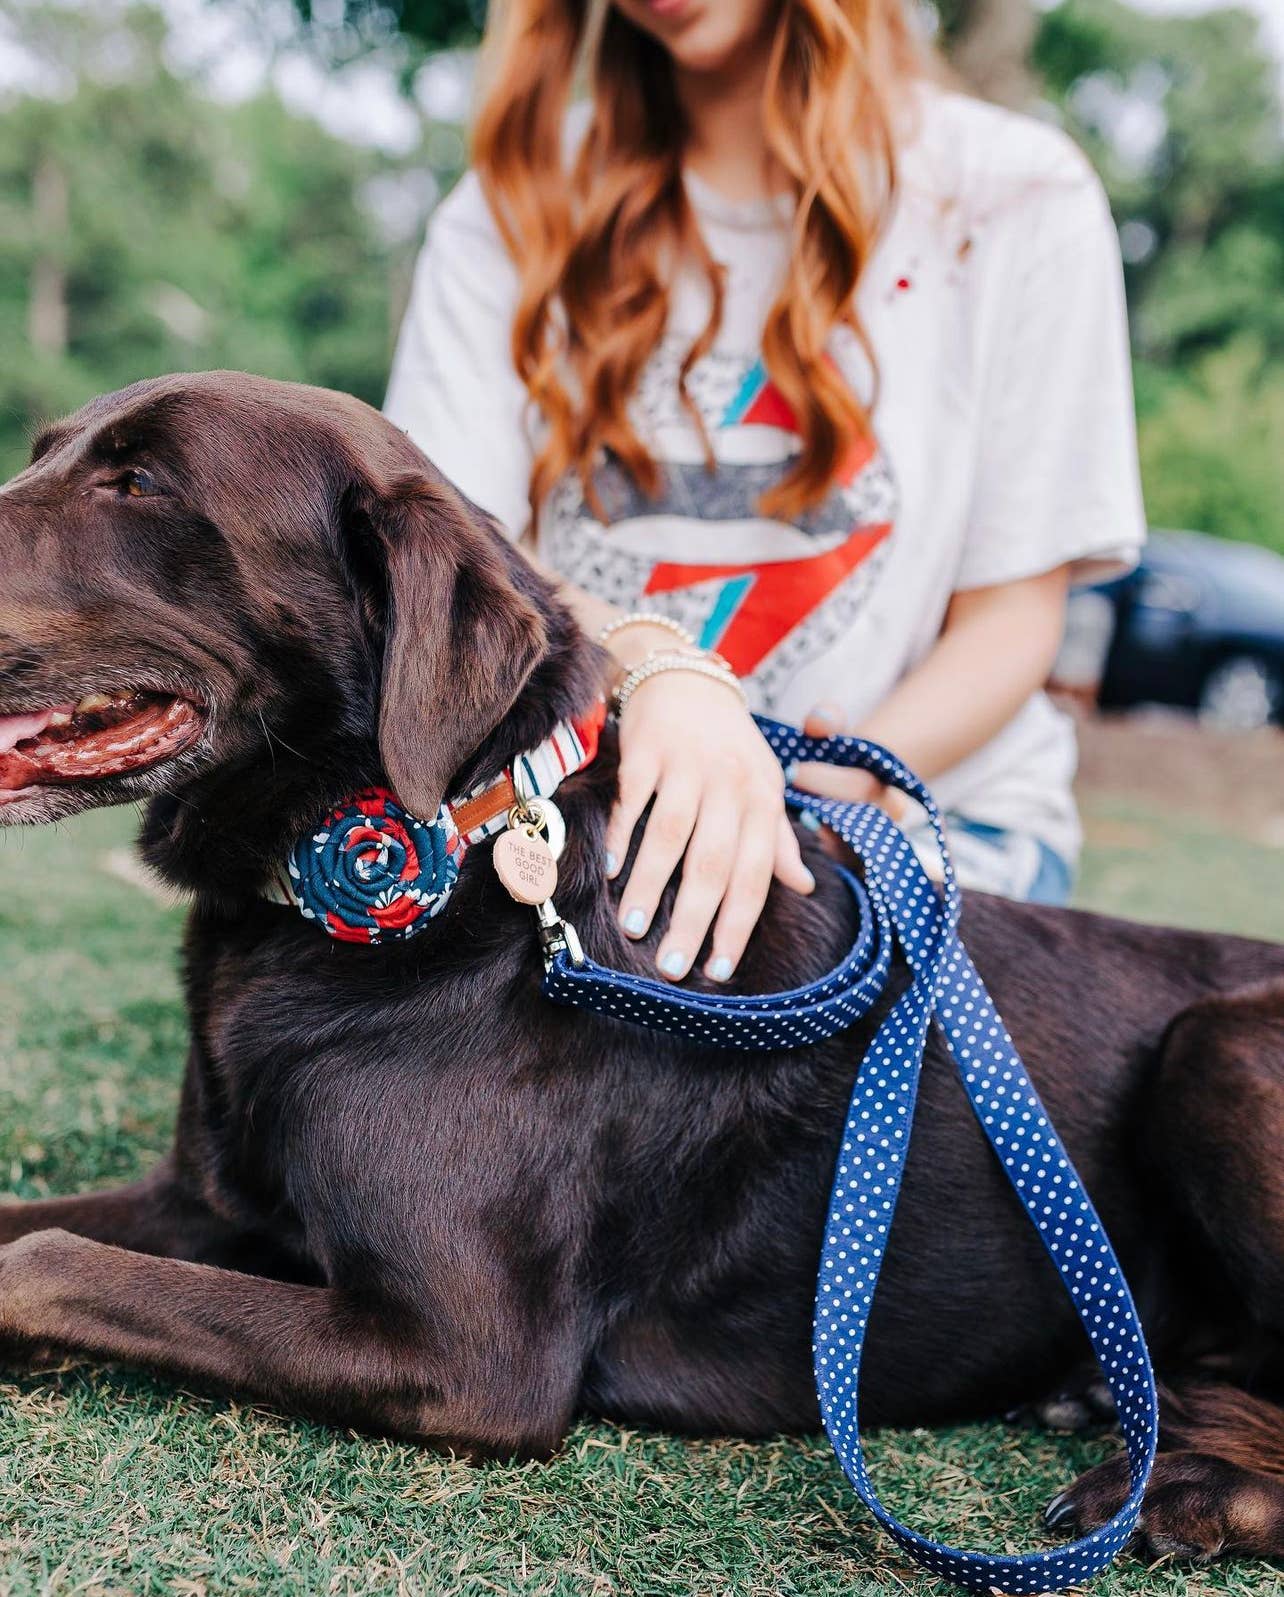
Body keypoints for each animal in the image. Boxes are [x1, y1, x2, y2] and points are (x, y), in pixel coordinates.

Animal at [2, 373, 1284, 1571]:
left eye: (140, 484)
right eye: (48, 452)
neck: (434, 853)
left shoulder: (469, 1355)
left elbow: (43, 1262)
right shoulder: (209, 1205)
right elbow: (40, 1230)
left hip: (1217, 1042)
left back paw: (1189, 1483)